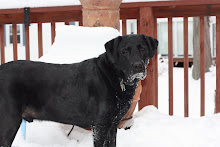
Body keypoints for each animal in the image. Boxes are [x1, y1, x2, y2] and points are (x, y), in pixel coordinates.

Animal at [0, 34, 158, 146]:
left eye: (142, 48)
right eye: (125, 51)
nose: (138, 66)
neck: (115, 77)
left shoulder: (112, 125)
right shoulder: (100, 126)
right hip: (9, 122)